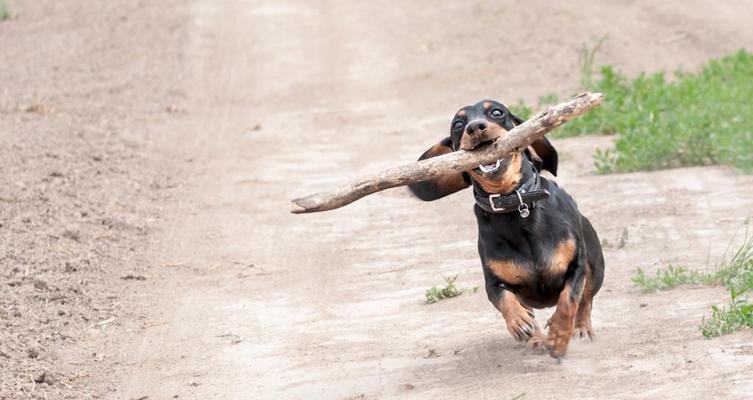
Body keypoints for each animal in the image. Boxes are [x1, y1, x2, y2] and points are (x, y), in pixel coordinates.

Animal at [408, 100, 604, 360]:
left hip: (594, 266)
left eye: (496, 112)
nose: (475, 127)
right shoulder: (494, 283)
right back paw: (536, 336)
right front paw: (520, 323)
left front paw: (560, 334)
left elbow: (568, 300)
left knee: (585, 300)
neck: (513, 203)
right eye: (458, 124)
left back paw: (581, 329)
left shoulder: (576, 266)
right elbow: (505, 300)